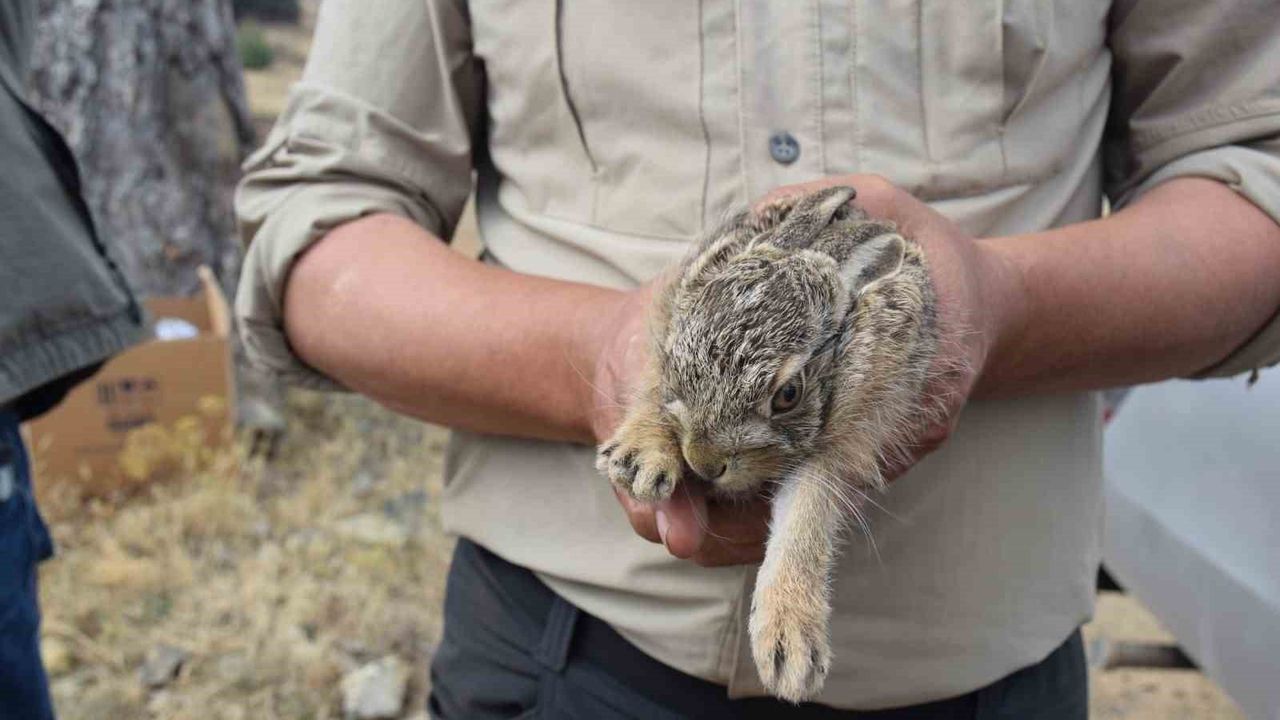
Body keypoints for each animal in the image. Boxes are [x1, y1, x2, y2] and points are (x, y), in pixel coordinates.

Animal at [596, 185, 939, 703]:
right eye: (678, 357)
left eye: (788, 395)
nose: (704, 463)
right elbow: (656, 390)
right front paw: (640, 459)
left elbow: (808, 512)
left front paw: (791, 648)